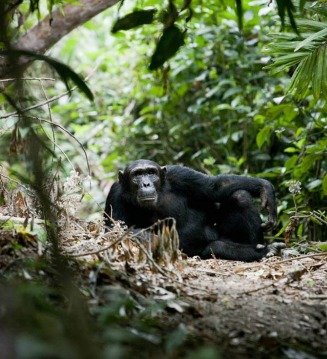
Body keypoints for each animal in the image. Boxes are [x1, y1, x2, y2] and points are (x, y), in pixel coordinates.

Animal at [105, 160, 284, 262]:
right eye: (137, 175)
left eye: (151, 172)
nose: (146, 183)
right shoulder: (115, 194)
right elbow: (114, 230)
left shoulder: (180, 174)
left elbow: (214, 187)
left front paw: (265, 189)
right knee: (217, 247)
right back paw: (265, 251)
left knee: (240, 196)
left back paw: (262, 247)